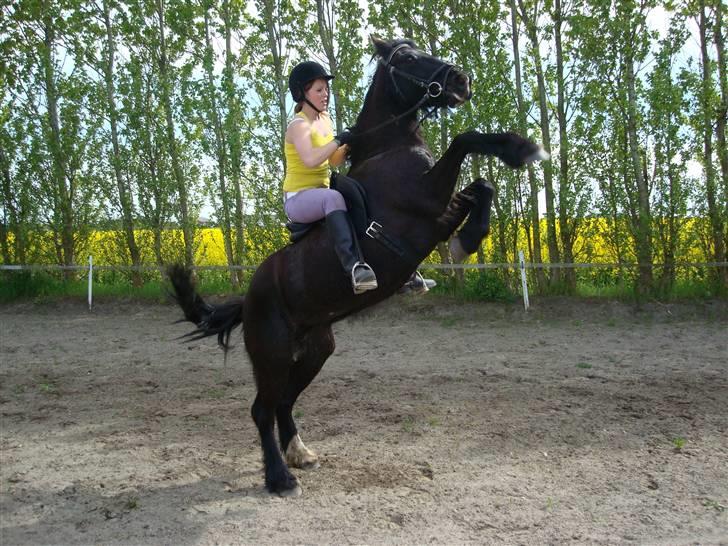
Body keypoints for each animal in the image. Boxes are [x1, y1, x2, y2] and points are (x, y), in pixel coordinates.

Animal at [169, 36, 547, 497]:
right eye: (408, 58)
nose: (461, 81)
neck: (389, 146)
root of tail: (248, 297)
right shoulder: (428, 202)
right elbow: (464, 139)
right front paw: (518, 150)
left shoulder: (441, 212)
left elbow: (482, 185)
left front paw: (471, 236)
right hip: (271, 354)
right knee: (262, 409)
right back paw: (280, 478)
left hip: (315, 349)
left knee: (284, 401)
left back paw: (300, 454)